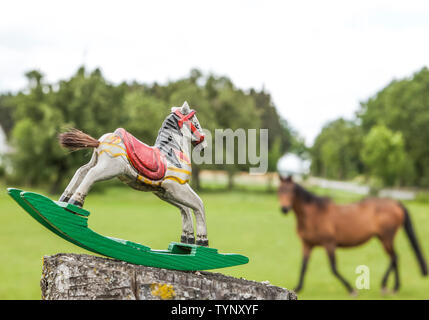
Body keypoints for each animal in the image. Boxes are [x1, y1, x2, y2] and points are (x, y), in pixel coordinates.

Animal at [276, 175, 426, 296]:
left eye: (291, 191)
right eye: (279, 190)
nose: (284, 209)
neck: (313, 214)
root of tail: (395, 202)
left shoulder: (329, 244)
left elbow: (334, 268)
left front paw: (351, 289)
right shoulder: (307, 244)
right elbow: (303, 266)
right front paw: (298, 287)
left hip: (386, 238)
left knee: (394, 257)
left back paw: (387, 286)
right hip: (383, 238)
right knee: (394, 258)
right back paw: (394, 287)